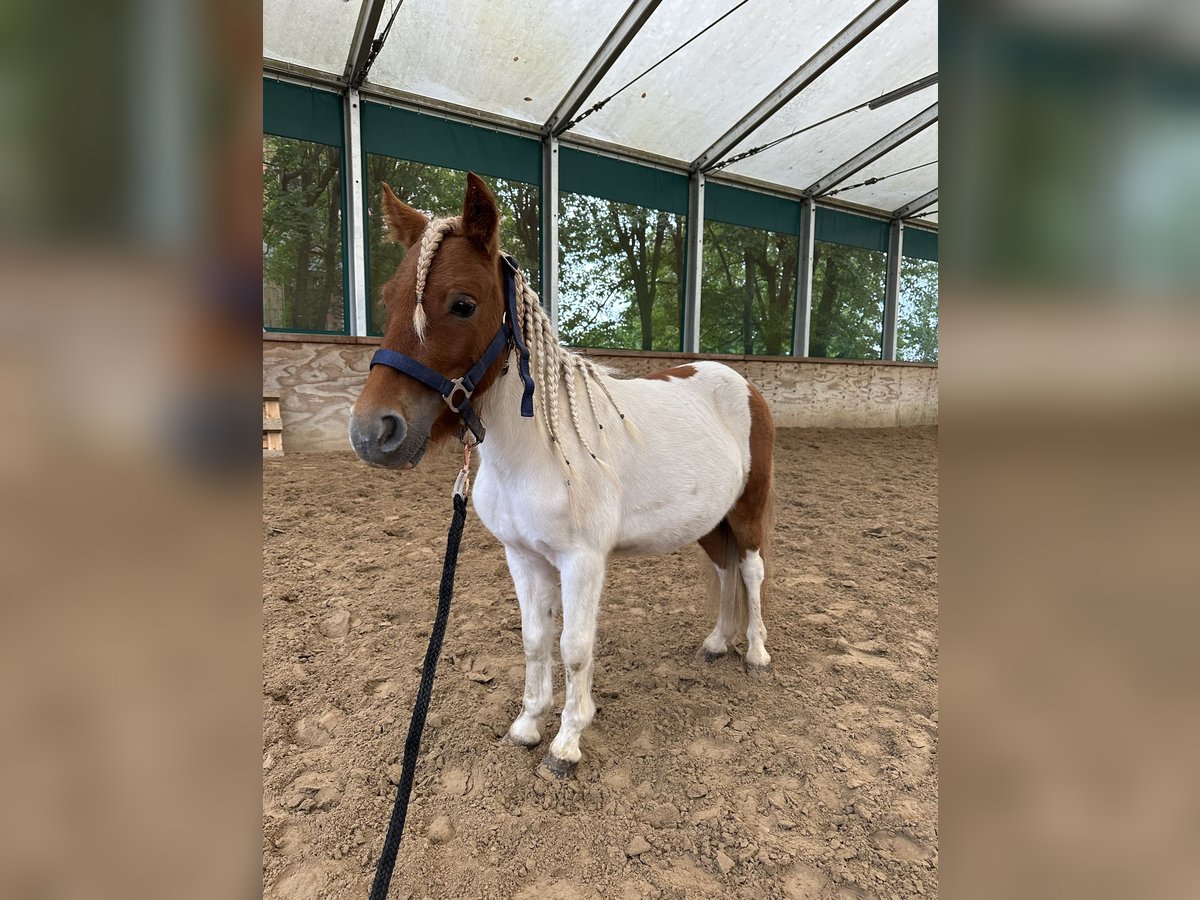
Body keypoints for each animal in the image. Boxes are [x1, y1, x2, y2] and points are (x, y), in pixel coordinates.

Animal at [350, 174, 772, 777]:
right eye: (386, 299)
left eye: (462, 304)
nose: (372, 432)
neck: (538, 453)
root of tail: (741, 384)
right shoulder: (524, 557)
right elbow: (534, 639)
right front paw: (528, 725)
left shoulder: (582, 561)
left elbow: (574, 647)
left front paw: (567, 742)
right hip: (710, 522)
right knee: (724, 570)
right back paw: (718, 642)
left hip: (749, 510)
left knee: (752, 572)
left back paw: (756, 652)